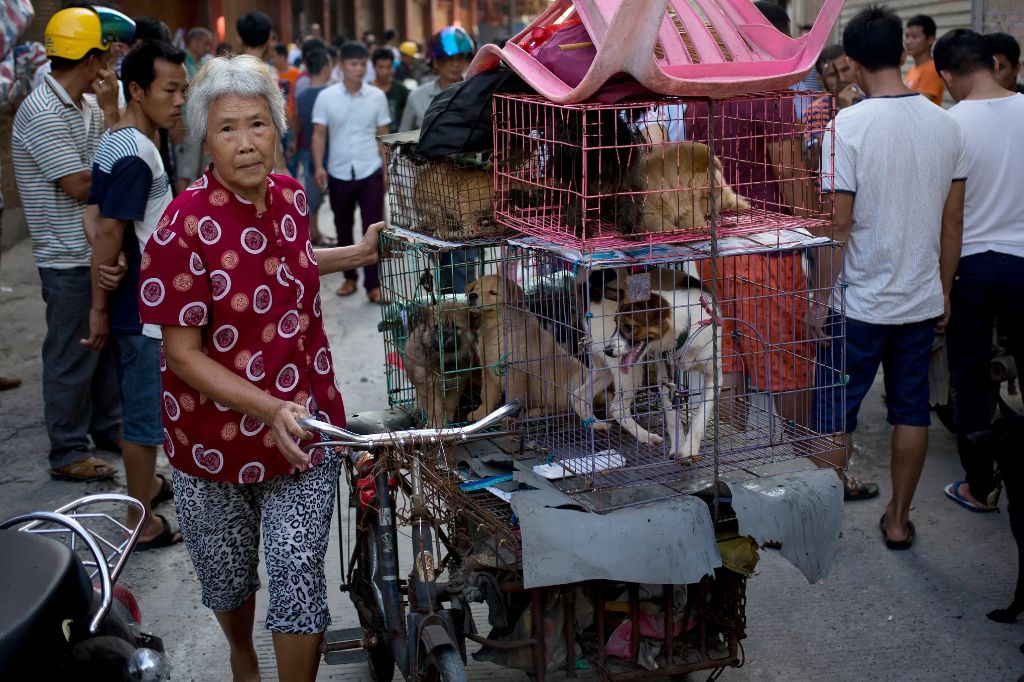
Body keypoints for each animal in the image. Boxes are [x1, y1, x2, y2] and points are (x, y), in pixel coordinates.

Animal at [401, 296, 481, 425]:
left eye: (455, 327)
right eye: (437, 327)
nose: (443, 336)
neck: (445, 359)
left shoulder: (457, 384)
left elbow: (449, 405)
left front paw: (447, 420)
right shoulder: (429, 385)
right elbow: (435, 409)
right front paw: (437, 424)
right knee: (418, 395)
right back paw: (417, 410)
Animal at [466, 274, 598, 421]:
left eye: (493, 292)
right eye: (476, 289)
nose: (472, 296)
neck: (495, 328)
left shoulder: (515, 370)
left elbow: (513, 397)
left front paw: (509, 418)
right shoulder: (488, 368)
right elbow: (486, 394)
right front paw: (481, 414)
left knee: (565, 408)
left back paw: (537, 412)